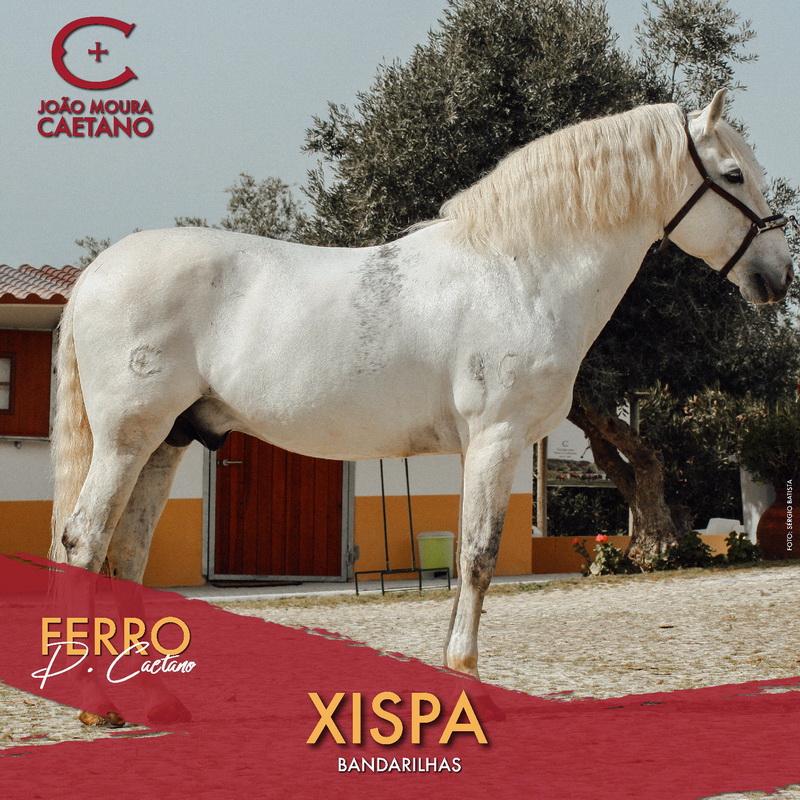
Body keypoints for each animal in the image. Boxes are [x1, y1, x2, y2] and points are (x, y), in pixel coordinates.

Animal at [50, 89, 793, 695]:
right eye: (733, 176)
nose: (778, 275)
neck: (518, 271)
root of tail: (96, 275)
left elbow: (469, 556)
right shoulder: (496, 439)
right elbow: (479, 557)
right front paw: (464, 671)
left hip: (170, 441)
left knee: (127, 552)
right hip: (128, 441)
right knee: (84, 541)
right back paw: (98, 702)